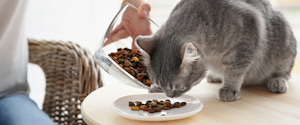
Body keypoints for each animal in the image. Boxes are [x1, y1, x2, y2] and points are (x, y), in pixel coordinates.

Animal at [135, 0, 296, 101]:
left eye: (177, 88)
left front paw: (229, 88)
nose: (169, 96)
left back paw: (278, 81)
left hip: (285, 43)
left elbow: (235, 71)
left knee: (284, 72)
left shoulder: (246, 41)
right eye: (159, 83)